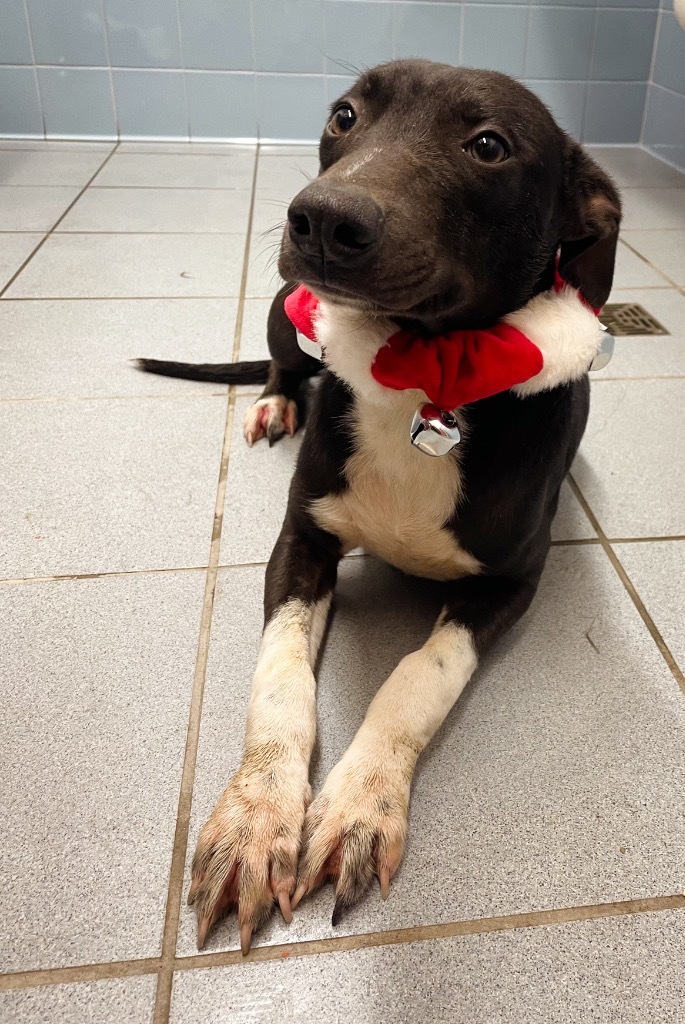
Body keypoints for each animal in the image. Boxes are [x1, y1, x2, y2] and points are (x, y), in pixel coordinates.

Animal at [136, 58, 618, 950]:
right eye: (344, 115)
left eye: (488, 145)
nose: (324, 218)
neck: (423, 379)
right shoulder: (301, 542)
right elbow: (279, 677)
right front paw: (256, 817)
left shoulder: (508, 585)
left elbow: (419, 674)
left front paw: (361, 802)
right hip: (285, 310)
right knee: (284, 361)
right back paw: (275, 402)